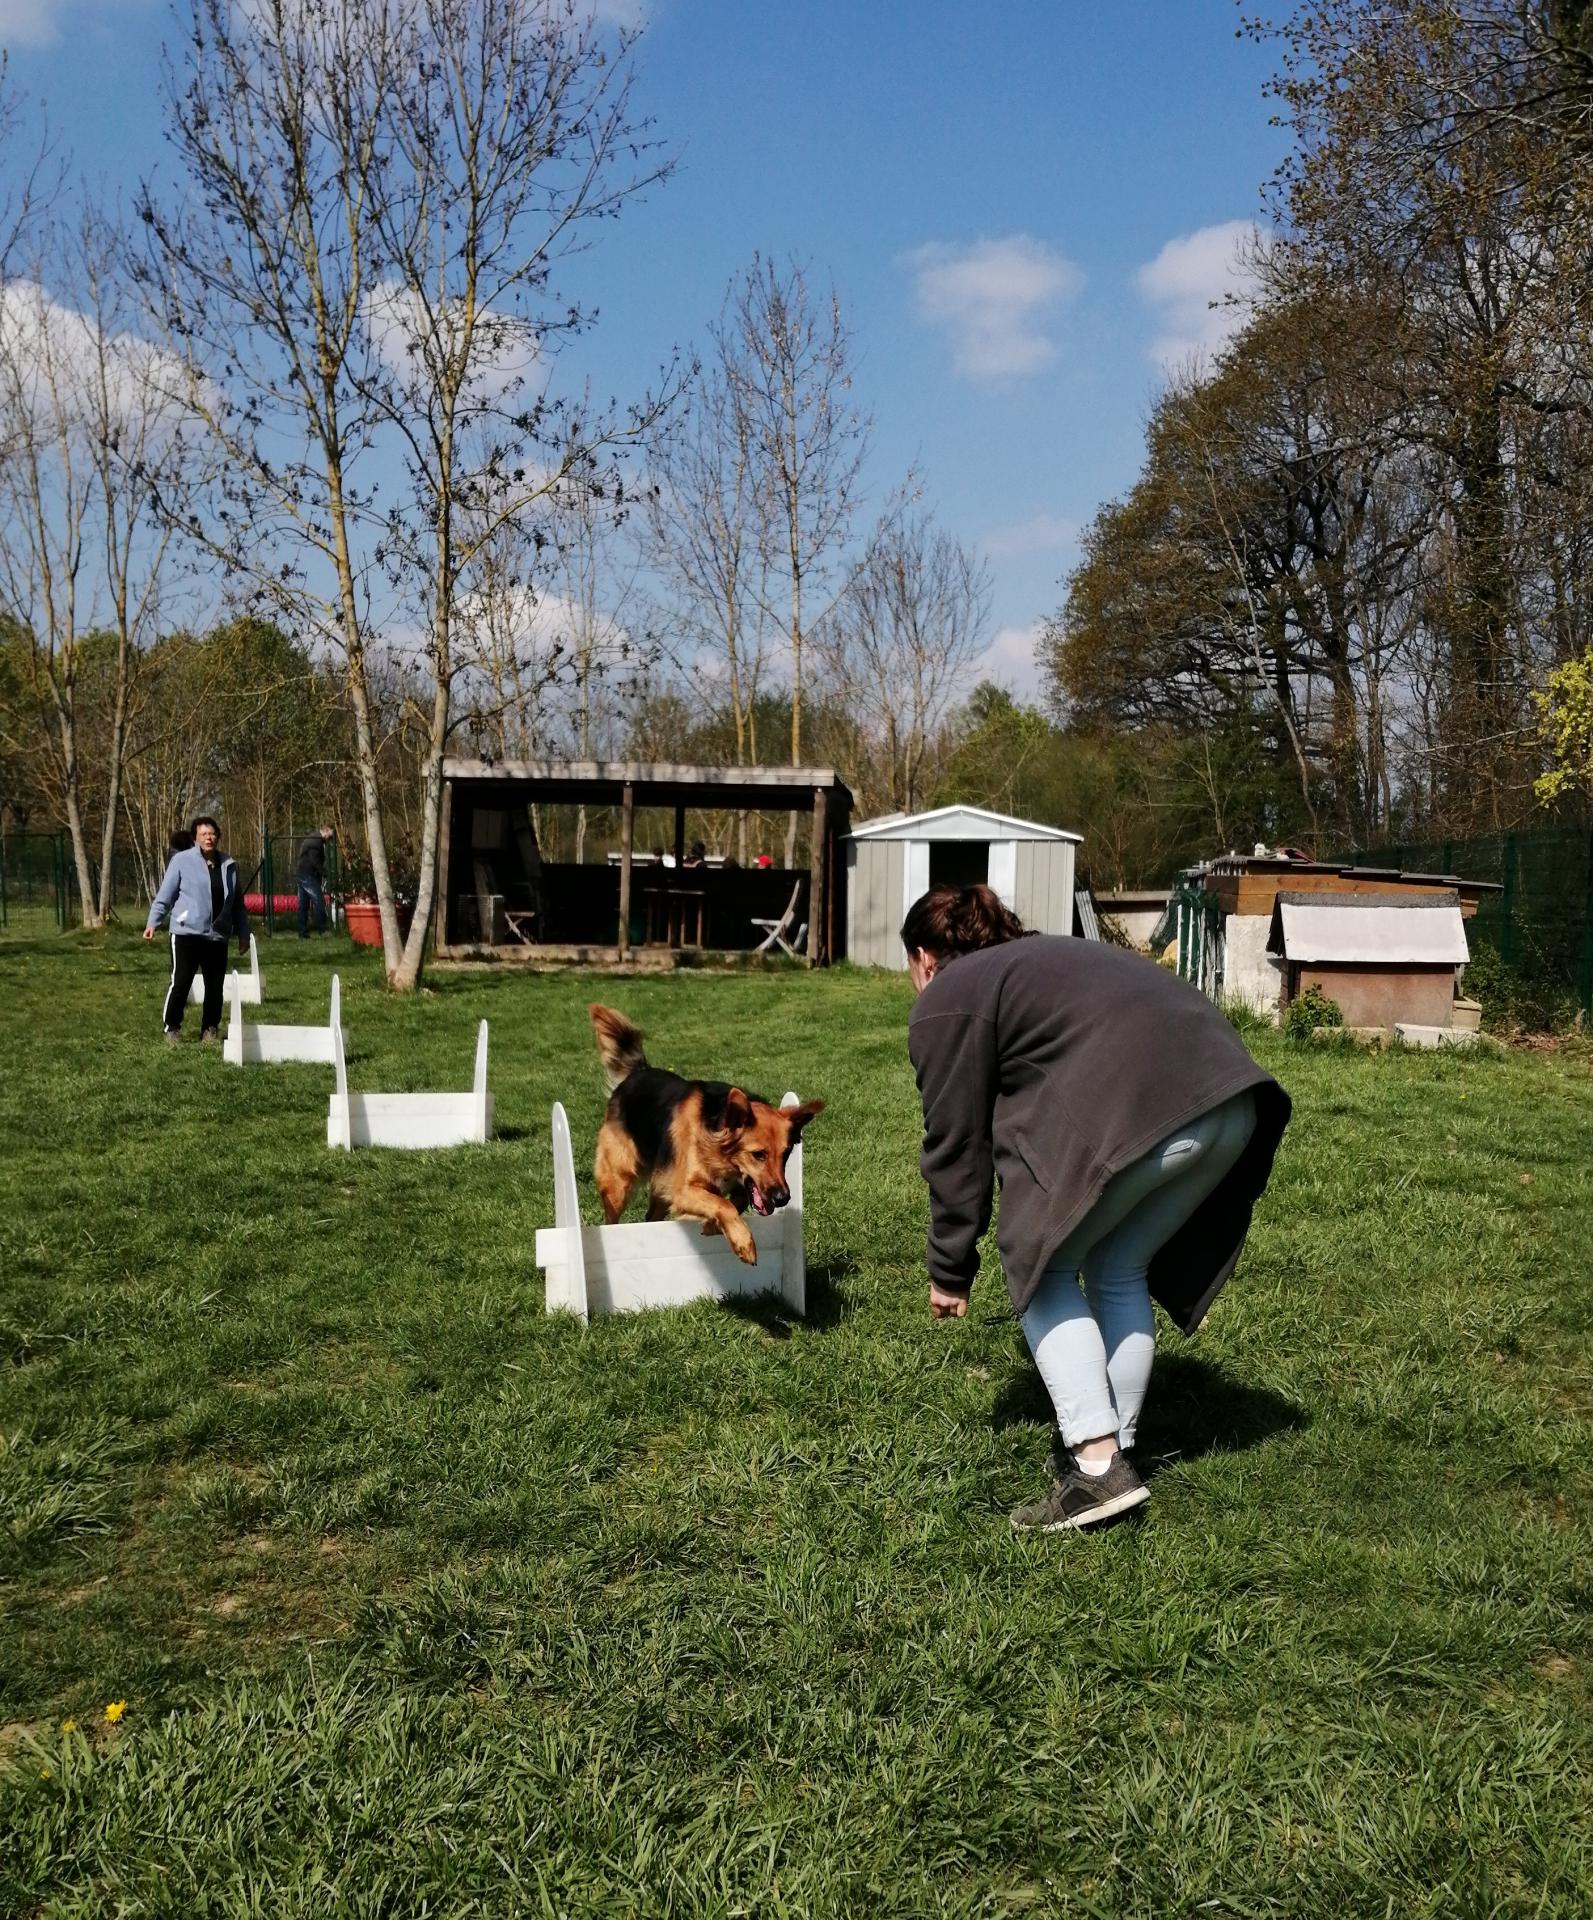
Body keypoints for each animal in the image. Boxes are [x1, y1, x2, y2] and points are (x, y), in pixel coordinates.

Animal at [591, 1006, 829, 1259]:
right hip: (618, 1182)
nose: (783, 1199)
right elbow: (722, 1204)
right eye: (758, 1155)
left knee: (651, 1217)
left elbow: (734, 1202)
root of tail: (638, 1072)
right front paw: (743, 1242)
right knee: (611, 1219)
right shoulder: (682, 1191)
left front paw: (715, 1226)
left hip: (661, 1183)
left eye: (786, 1154)